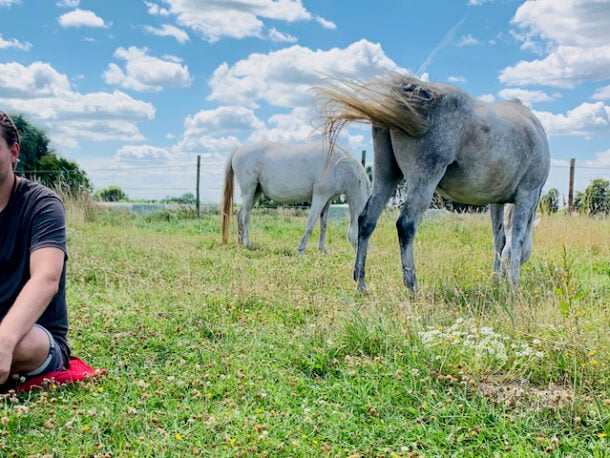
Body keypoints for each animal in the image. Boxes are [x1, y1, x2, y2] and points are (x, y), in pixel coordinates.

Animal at [220, 140, 368, 254]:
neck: (339, 164)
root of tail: (238, 149)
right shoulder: (319, 196)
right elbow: (311, 223)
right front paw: (301, 250)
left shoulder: (327, 199)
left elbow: (323, 224)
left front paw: (323, 249)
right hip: (249, 190)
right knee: (245, 217)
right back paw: (247, 243)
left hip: (255, 192)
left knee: (240, 214)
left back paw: (240, 243)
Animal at [316, 73, 548, 292]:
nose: (506, 278)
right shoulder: (528, 193)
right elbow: (517, 238)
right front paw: (514, 284)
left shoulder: (496, 202)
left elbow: (500, 239)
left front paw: (496, 280)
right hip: (424, 180)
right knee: (405, 225)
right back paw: (412, 286)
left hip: (386, 175)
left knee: (367, 220)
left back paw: (361, 283)